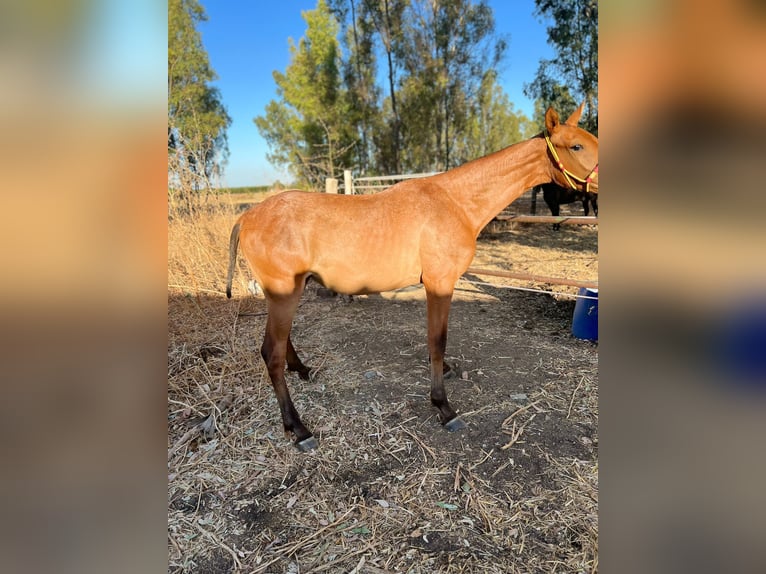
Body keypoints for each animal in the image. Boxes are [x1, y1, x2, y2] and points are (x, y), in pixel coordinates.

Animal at [226, 106, 600, 452]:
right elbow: (437, 340)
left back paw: (303, 370)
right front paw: (444, 407)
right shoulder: (440, 282)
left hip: (289, 290)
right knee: (270, 353)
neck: (455, 202)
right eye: (577, 145)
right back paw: (298, 428)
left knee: (282, 342)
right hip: (284, 292)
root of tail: (247, 216)